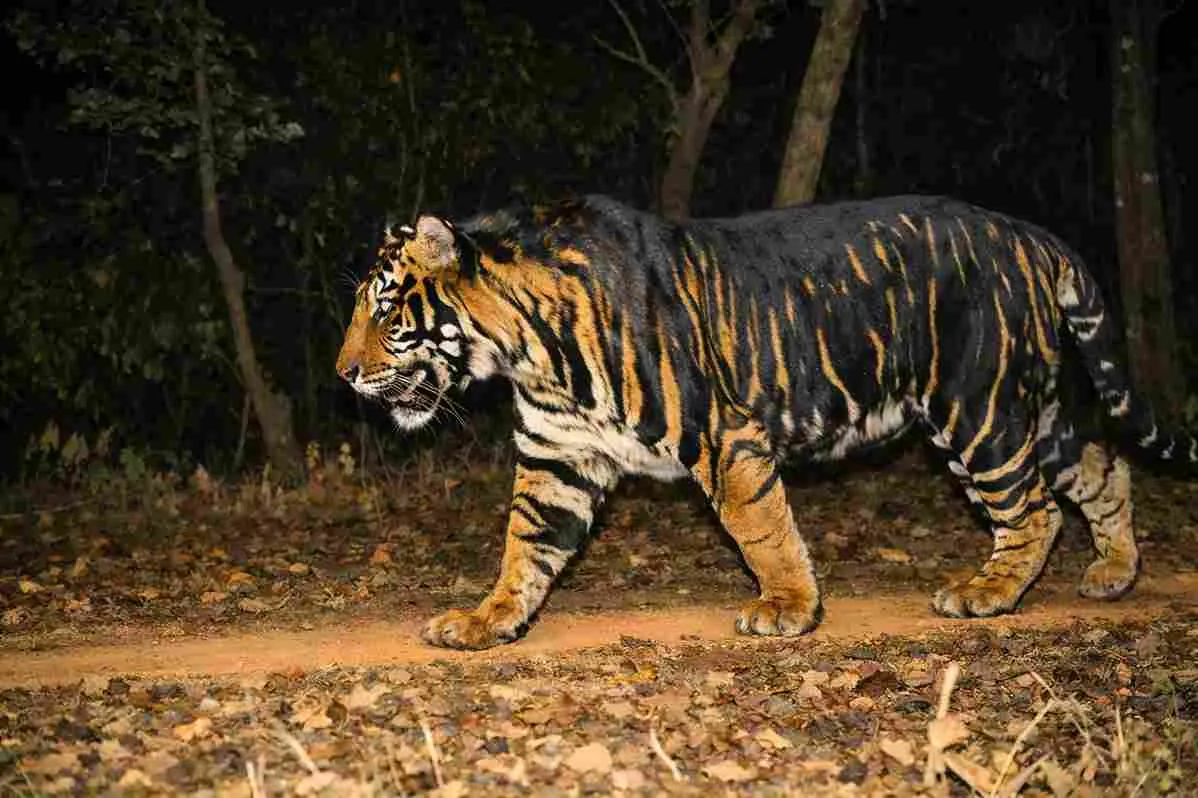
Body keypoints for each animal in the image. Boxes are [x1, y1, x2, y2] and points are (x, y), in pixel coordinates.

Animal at [336, 194, 1196, 650]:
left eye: (383, 309)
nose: (343, 372)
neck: (526, 351)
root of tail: (1028, 232)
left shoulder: (725, 438)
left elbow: (762, 530)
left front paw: (787, 609)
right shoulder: (559, 458)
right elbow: (526, 548)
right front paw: (486, 621)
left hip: (976, 409)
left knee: (1034, 508)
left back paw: (987, 592)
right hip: (1029, 408)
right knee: (1104, 467)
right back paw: (1114, 572)